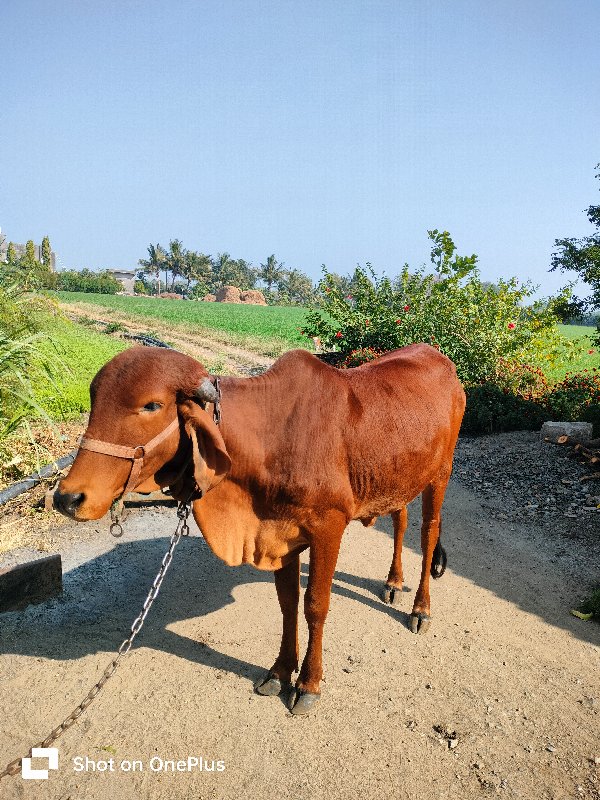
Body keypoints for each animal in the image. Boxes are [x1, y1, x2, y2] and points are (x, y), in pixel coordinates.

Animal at [54, 340, 466, 716]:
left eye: (152, 405)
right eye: (94, 400)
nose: (67, 498)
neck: (271, 437)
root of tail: (440, 359)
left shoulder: (328, 527)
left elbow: (315, 605)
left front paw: (308, 683)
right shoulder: (280, 535)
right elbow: (287, 603)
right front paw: (281, 670)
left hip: (440, 474)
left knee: (428, 533)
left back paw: (420, 608)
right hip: (400, 476)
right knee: (401, 519)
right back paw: (393, 581)